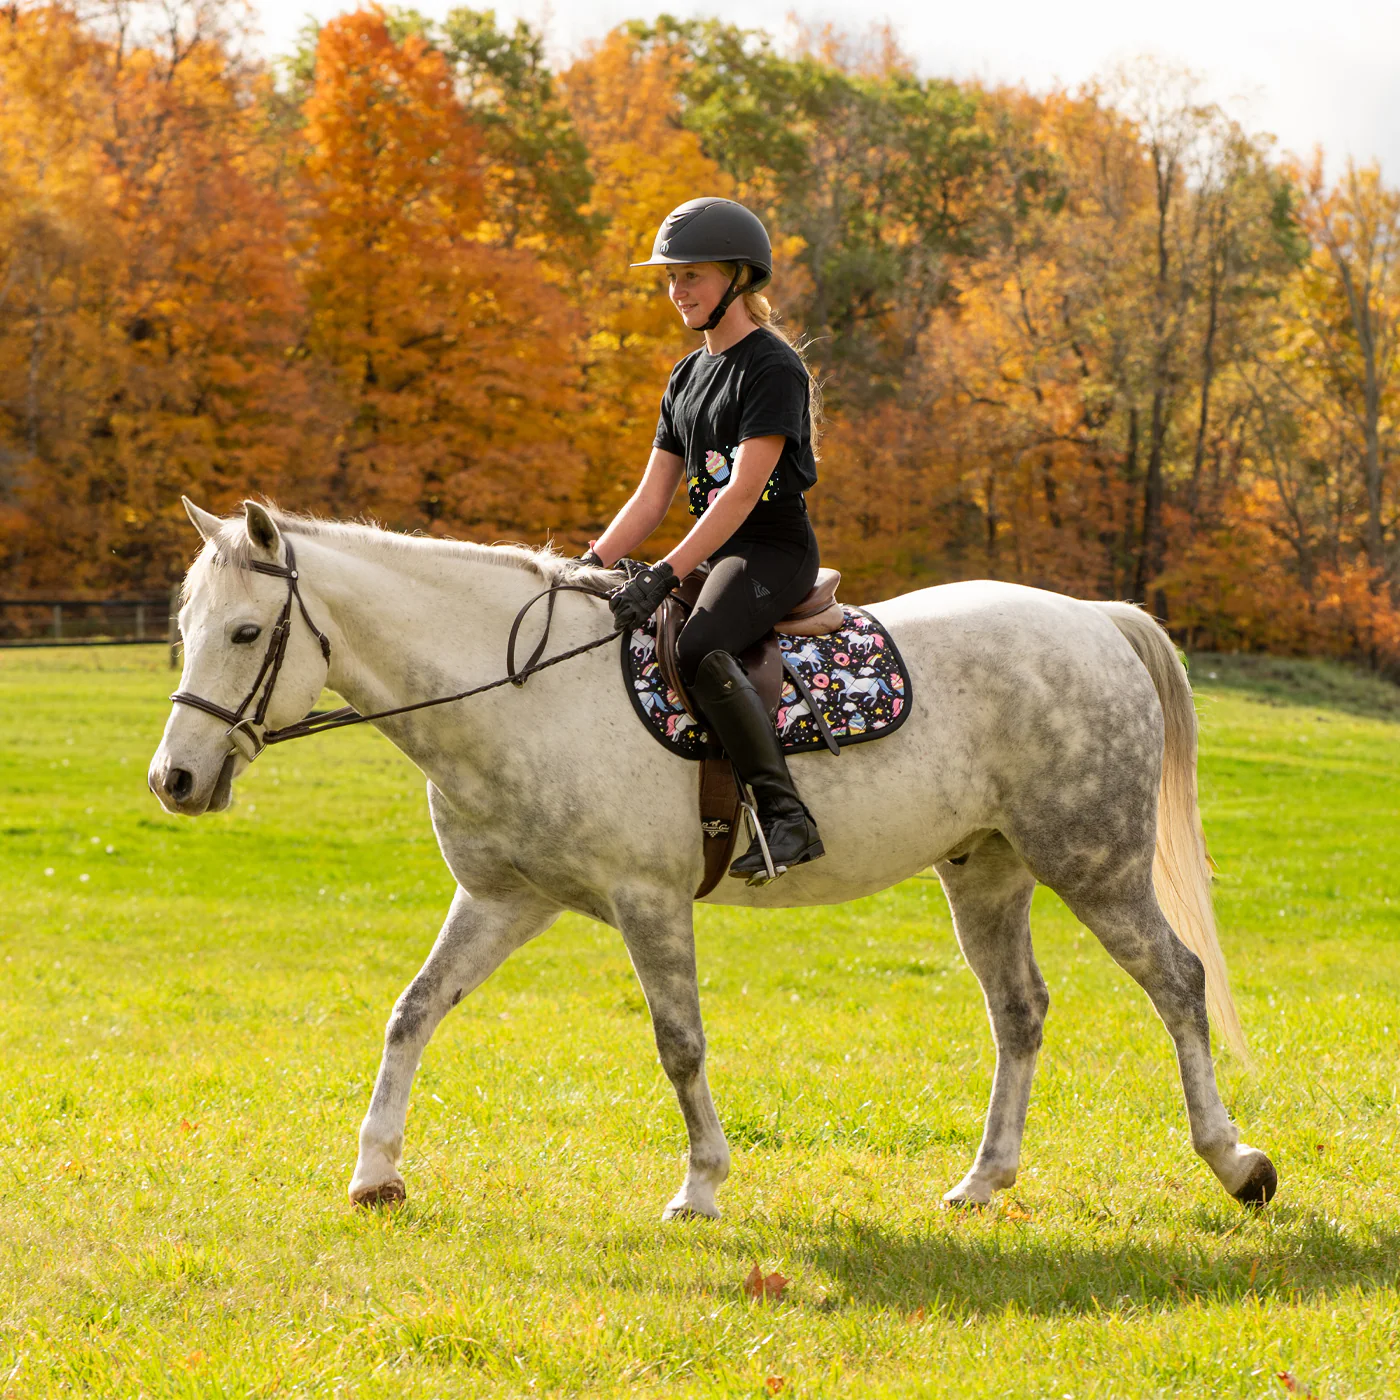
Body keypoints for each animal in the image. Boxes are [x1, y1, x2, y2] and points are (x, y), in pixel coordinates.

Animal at [148, 499, 1278, 1218]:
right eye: (183, 627)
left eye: (245, 632)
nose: (174, 779)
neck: (521, 691)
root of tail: (1091, 618)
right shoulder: (504, 899)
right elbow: (412, 1011)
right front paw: (376, 1173)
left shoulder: (647, 900)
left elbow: (678, 1044)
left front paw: (699, 1185)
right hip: (986, 869)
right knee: (1019, 1012)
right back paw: (983, 1179)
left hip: (1094, 862)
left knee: (1176, 981)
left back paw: (1234, 1163)